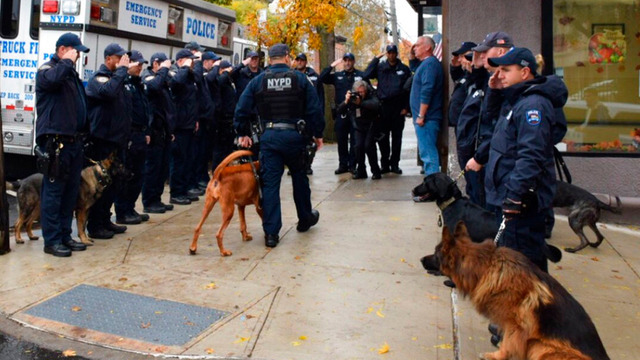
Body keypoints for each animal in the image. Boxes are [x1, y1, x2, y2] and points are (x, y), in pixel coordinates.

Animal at [436, 222, 608, 360]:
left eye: (437, 254)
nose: (426, 259)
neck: (486, 266)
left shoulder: (515, 325)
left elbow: (508, 343)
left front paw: (496, 356)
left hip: (542, 347)